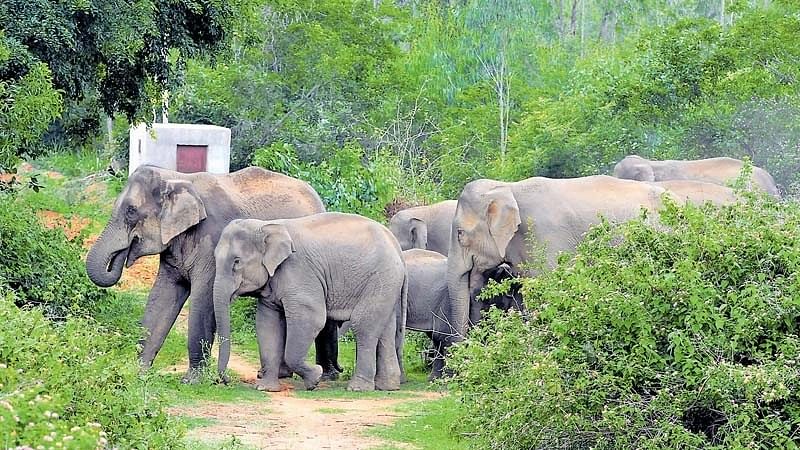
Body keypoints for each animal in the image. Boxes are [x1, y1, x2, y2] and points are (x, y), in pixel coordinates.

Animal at [83, 165, 338, 384]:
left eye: (131, 211)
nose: (223, 380)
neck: (175, 177)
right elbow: (161, 299)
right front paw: (137, 373)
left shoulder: (212, 239)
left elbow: (203, 299)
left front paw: (192, 381)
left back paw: (327, 376)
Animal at [212, 213, 406, 392]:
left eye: (236, 261)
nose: (225, 380)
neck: (267, 226)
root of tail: (396, 246)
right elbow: (267, 324)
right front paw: (265, 388)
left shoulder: (299, 271)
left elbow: (312, 318)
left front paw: (315, 378)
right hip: (388, 283)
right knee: (386, 330)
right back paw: (387, 387)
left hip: (381, 277)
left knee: (363, 325)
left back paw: (357, 388)